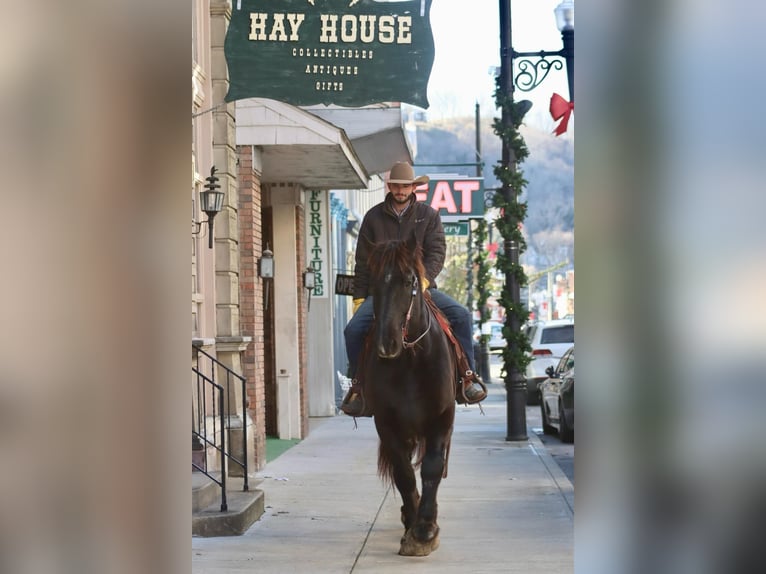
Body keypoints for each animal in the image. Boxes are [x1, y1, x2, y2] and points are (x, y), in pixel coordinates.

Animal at [360, 238, 456, 560]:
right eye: (374, 282)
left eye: (409, 281)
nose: (385, 344)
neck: (410, 360)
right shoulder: (386, 423)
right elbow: (403, 474)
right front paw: (413, 526)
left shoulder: (441, 418)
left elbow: (432, 468)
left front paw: (425, 529)